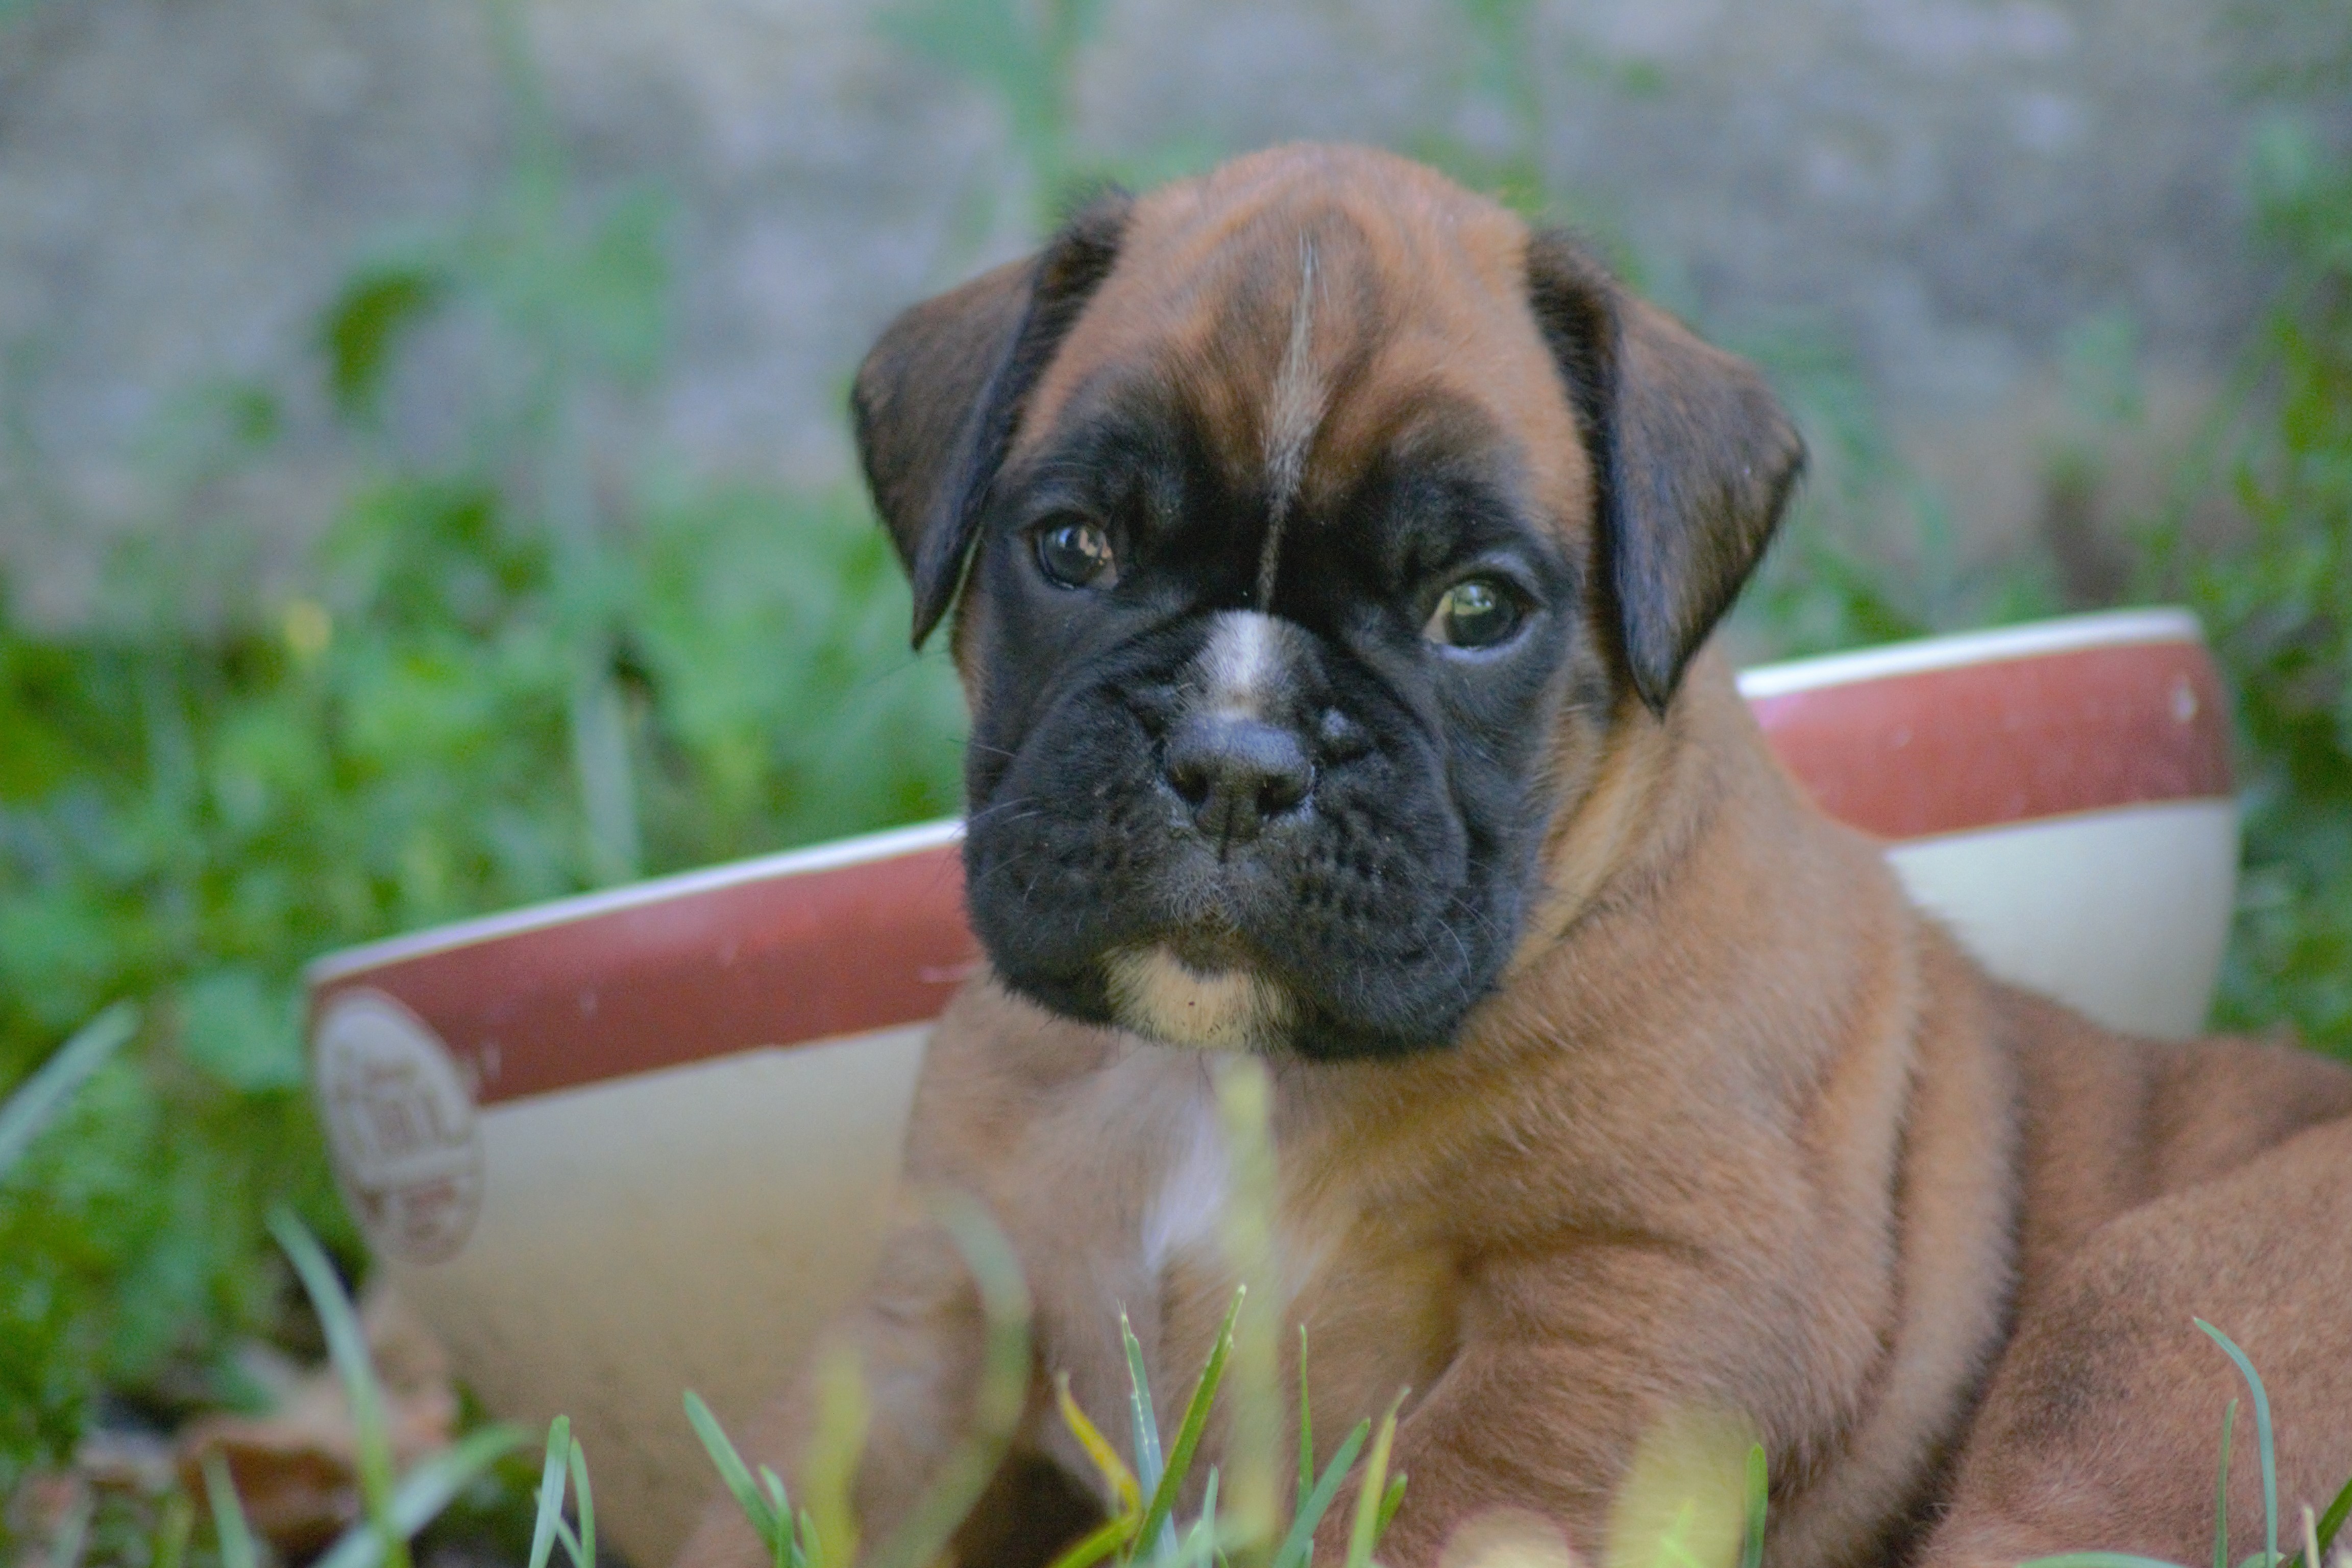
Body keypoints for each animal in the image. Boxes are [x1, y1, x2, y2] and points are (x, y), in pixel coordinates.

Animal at [682, 146, 2352, 1568]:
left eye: (1475, 609)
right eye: (1075, 547)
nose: (1235, 760)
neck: (1226, 1074)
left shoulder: (1628, 1317)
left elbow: (1444, 1508)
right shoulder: (933, 1335)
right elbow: (780, 1504)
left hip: (2133, 1340)